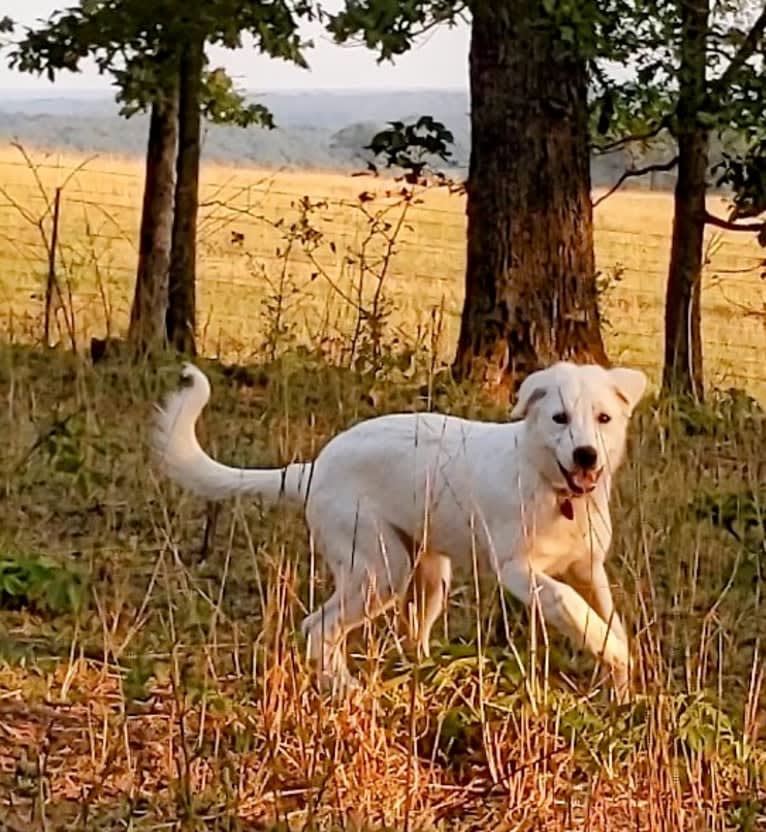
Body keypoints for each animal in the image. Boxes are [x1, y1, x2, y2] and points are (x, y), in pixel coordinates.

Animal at [153, 360, 644, 692]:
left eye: (604, 418)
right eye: (560, 418)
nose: (586, 456)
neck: (554, 487)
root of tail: (313, 468)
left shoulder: (588, 568)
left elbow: (609, 617)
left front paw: (620, 680)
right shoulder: (518, 570)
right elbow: (568, 604)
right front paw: (614, 654)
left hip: (428, 575)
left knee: (409, 634)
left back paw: (425, 672)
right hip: (380, 568)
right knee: (318, 627)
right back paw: (345, 689)